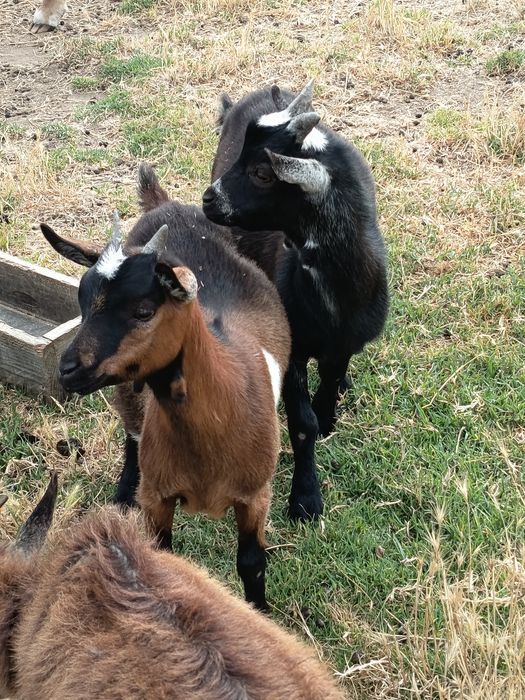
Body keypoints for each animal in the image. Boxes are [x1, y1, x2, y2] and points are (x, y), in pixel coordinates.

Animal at [40, 164, 291, 610]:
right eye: (82, 302)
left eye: (143, 311)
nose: (67, 370)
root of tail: (164, 203)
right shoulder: (157, 497)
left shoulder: (257, 496)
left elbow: (252, 563)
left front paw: (259, 610)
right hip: (128, 396)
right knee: (131, 431)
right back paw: (123, 490)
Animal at [203, 81, 389, 522]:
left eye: (262, 173)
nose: (209, 199)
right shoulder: (293, 347)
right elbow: (303, 423)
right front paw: (305, 499)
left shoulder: (344, 343)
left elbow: (329, 384)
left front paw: (329, 413)